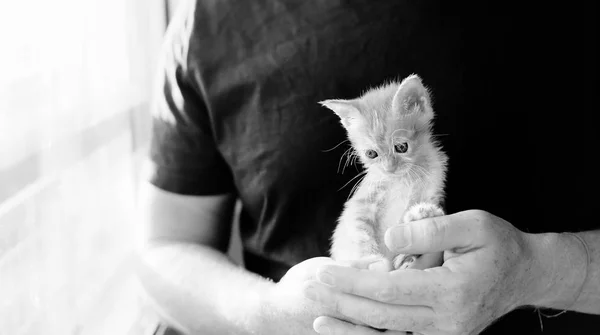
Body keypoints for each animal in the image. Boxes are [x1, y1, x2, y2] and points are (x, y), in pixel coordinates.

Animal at [322, 75, 448, 272]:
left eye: (402, 147)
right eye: (371, 154)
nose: (389, 168)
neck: (403, 179)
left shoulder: (433, 186)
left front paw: (422, 216)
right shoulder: (362, 202)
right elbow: (359, 230)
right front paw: (371, 259)